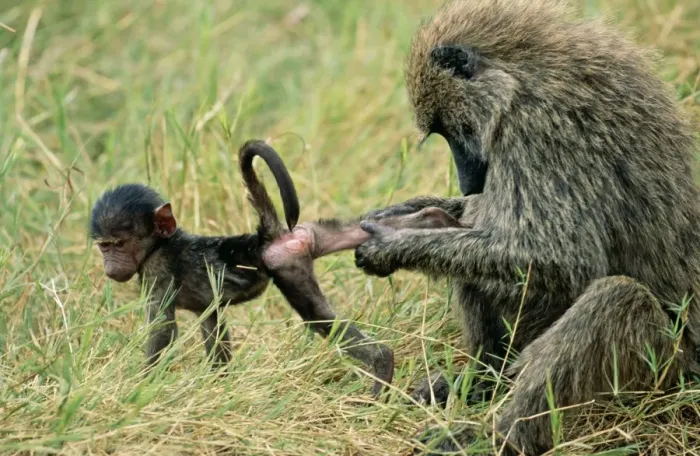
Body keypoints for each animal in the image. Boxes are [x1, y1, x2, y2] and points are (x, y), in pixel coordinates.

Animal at [331, 0, 700, 454]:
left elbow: (562, 257)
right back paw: (481, 382)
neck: (524, 75)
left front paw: (392, 246)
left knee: (613, 299)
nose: (469, 183)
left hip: (662, 368)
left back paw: (495, 436)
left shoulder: (539, 130)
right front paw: (411, 212)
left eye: (453, 129)